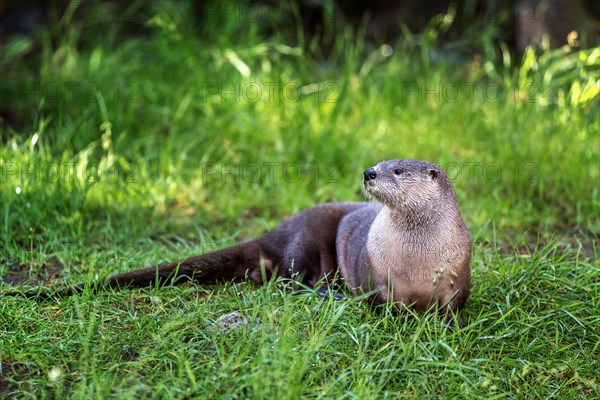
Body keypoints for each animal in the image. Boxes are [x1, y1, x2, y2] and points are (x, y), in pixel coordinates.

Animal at [5, 161, 474, 326]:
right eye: (378, 163)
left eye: (397, 169)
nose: (369, 173)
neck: (416, 261)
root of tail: (276, 230)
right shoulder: (377, 276)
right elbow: (381, 304)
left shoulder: (457, 277)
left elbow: (454, 307)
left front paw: (449, 328)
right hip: (307, 243)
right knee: (291, 279)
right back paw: (329, 294)